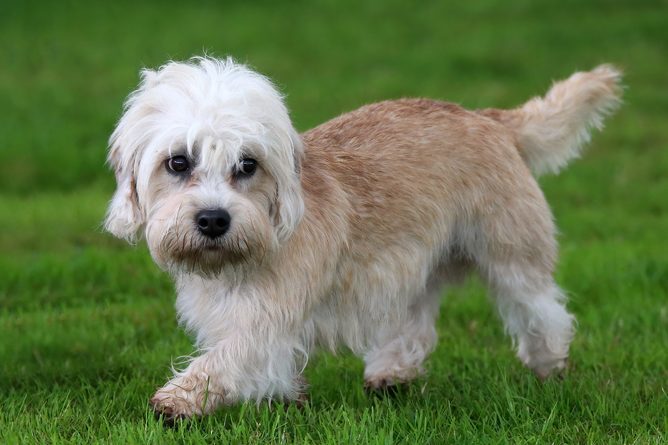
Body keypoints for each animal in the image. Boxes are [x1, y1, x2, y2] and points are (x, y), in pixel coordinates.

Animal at [104, 58, 620, 420]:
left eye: (247, 165)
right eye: (178, 162)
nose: (213, 219)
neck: (256, 246)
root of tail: (487, 117)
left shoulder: (264, 324)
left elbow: (225, 361)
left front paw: (177, 400)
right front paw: (286, 401)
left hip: (511, 254)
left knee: (544, 311)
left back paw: (549, 368)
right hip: (415, 266)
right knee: (416, 325)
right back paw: (391, 374)